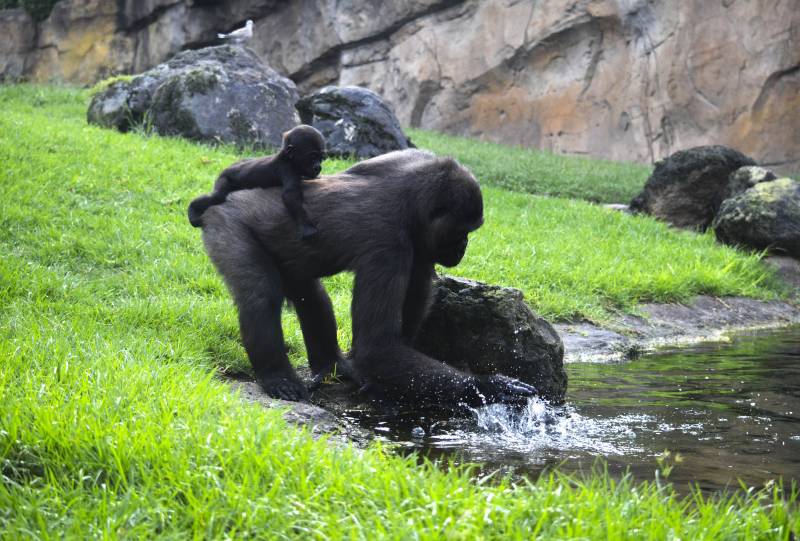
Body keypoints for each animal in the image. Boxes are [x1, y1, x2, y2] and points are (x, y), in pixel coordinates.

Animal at [188, 126, 324, 238]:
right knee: (217, 197)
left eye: (321, 157)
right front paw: (306, 227)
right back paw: (192, 208)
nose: (318, 167)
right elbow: (290, 195)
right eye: (312, 156)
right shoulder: (287, 169)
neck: (287, 158)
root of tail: (226, 169)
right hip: (224, 178)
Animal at [200, 150, 536, 408]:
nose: (463, 248)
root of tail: (221, 200)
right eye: (461, 232)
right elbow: (376, 346)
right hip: (226, 224)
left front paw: (381, 383)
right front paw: (488, 387)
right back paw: (277, 375)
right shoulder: (388, 243)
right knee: (261, 296)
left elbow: (414, 299)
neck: (412, 199)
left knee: (311, 296)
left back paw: (332, 365)